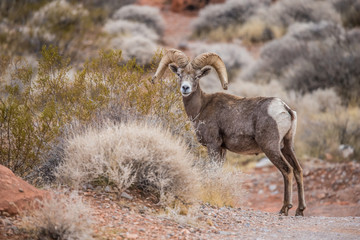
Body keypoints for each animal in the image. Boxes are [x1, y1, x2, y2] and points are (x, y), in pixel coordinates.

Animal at [152, 48, 306, 216]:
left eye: (197, 76)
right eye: (179, 74)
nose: (185, 88)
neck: (201, 107)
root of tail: (285, 109)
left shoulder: (213, 145)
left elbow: (212, 172)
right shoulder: (222, 149)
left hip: (271, 148)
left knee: (287, 170)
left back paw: (285, 208)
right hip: (287, 146)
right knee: (298, 170)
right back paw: (300, 210)